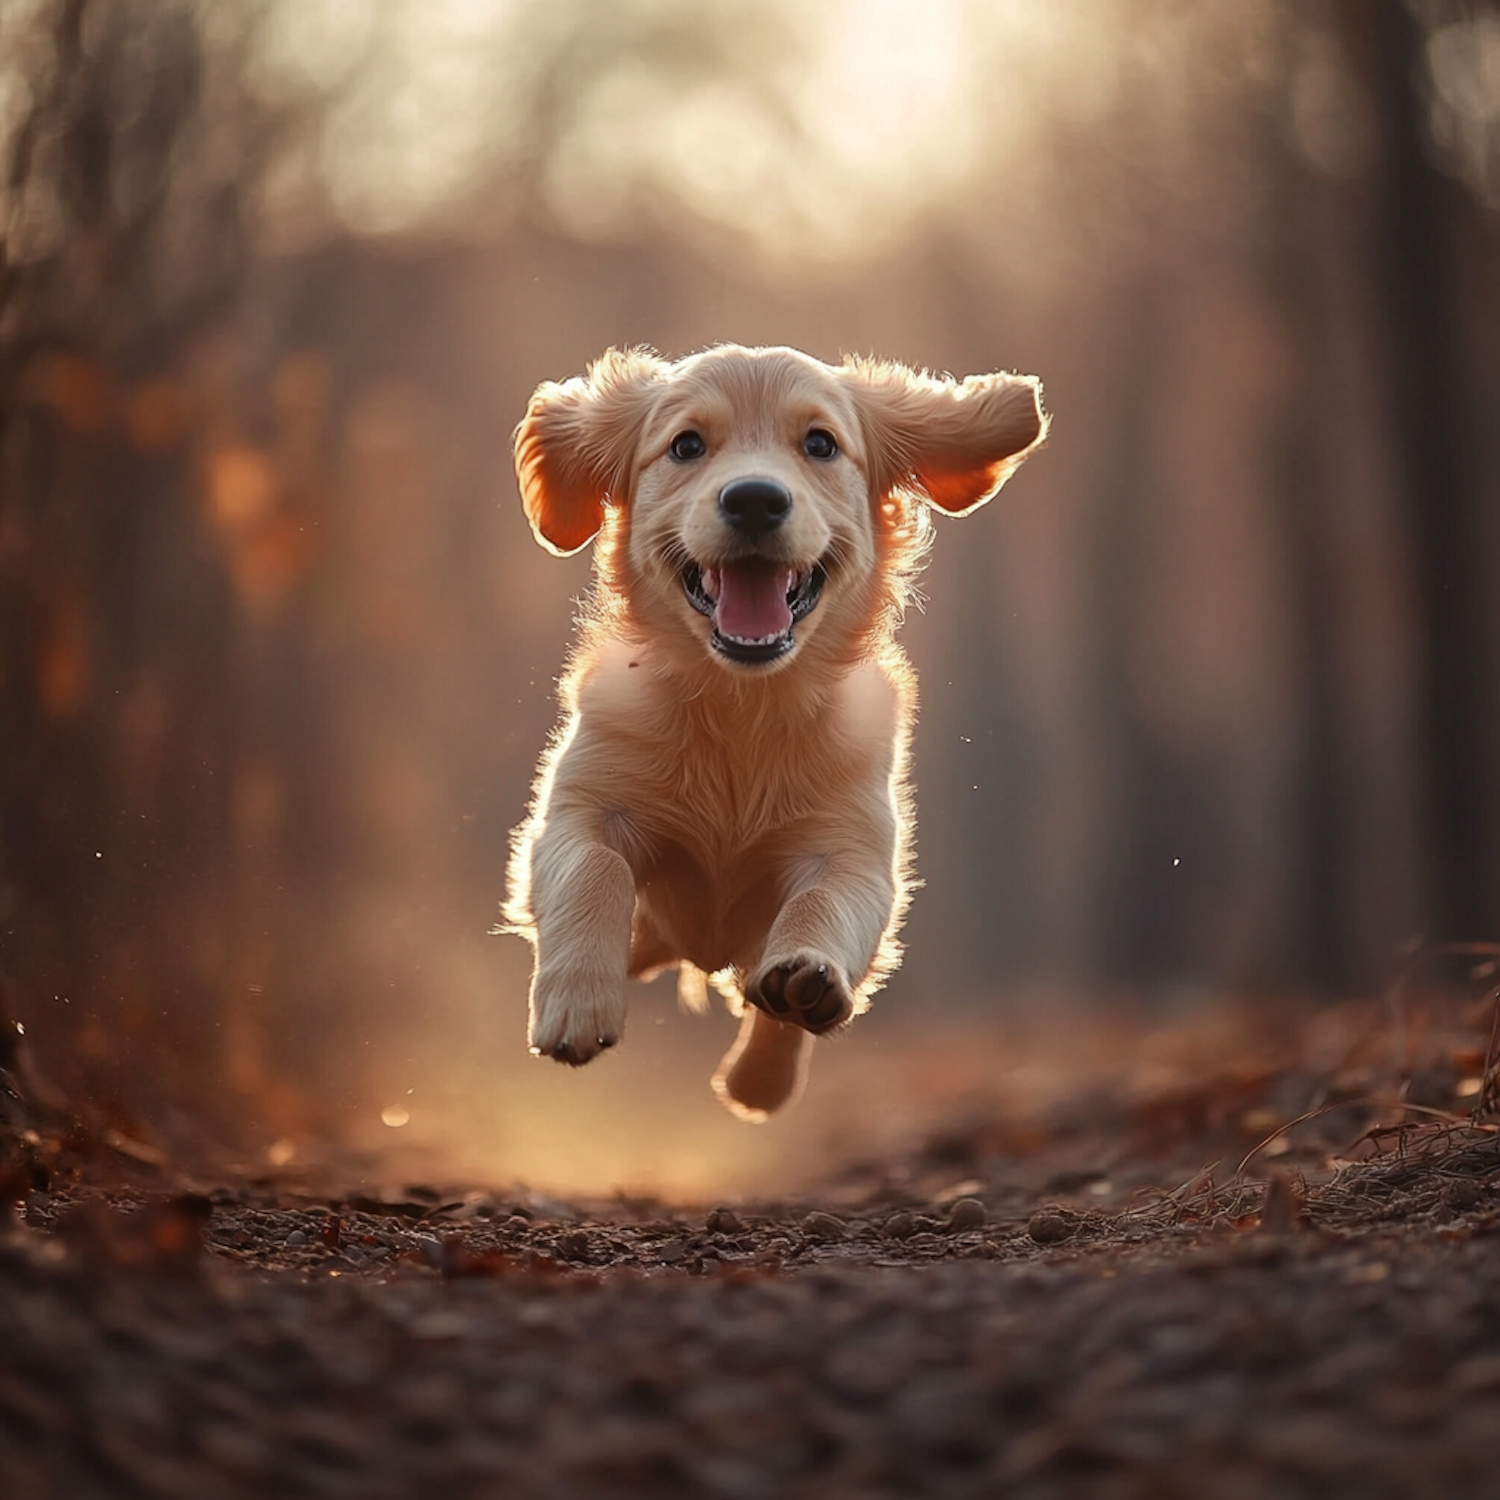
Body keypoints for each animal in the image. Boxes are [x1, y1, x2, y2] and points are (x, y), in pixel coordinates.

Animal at [504, 340, 1044, 1116]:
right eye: (685, 445)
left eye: (820, 443)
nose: (755, 498)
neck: (743, 708)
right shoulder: (580, 808)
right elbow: (593, 870)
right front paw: (577, 1007)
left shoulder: (854, 850)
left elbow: (825, 904)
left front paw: (804, 982)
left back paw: (758, 1079)